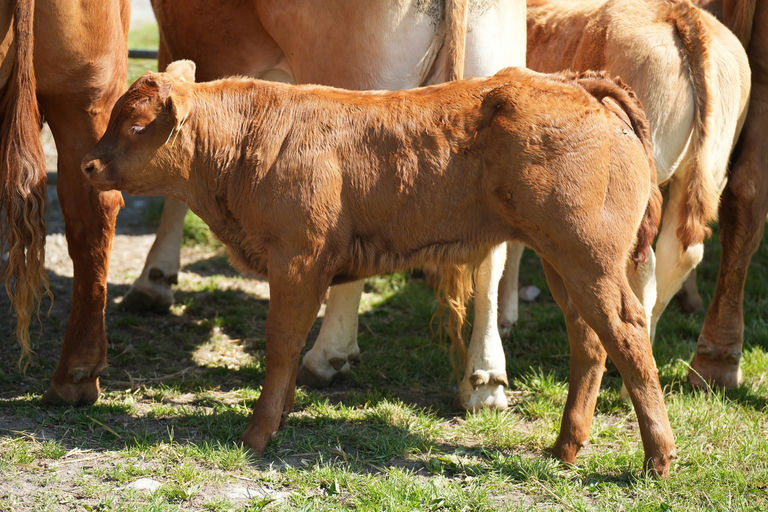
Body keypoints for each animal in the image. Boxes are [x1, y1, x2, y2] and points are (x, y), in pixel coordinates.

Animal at [82, 60, 675, 477]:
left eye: (137, 124)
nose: (88, 164)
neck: (248, 143)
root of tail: (573, 84)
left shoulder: (298, 260)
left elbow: (282, 342)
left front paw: (257, 432)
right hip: (563, 260)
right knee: (590, 340)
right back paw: (565, 448)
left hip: (588, 259)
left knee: (626, 332)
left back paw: (657, 459)